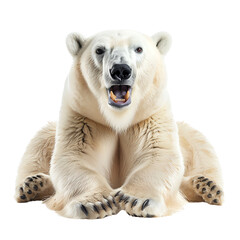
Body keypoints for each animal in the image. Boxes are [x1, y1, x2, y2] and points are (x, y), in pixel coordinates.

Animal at [14, 29, 223, 218]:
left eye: (138, 49)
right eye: (99, 50)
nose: (120, 70)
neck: (118, 118)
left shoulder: (151, 116)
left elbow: (160, 155)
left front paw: (137, 200)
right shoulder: (82, 116)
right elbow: (73, 158)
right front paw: (97, 203)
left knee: (202, 151)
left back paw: (207, 187)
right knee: (38, 147)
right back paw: (31, 185)